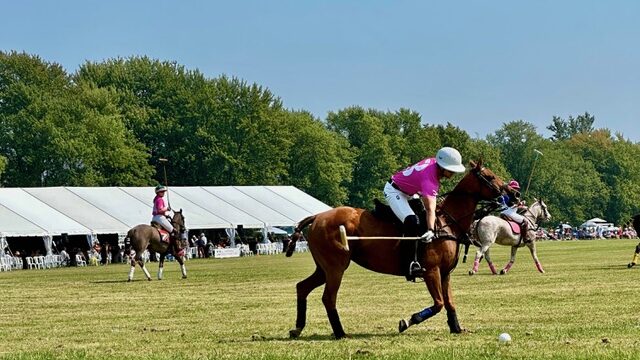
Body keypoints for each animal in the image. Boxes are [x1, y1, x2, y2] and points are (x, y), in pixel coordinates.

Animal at [284, 160, 516, 338]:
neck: (447, 223)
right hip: (336, 267)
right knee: (328, 298)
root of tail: (317, 216)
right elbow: (439, 303)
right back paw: (340, 333)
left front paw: (457, 328)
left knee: (302, 287)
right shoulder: (431, 271)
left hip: (323, 267)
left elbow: (450, 302)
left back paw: (297, 329)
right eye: (490, 176)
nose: (514, 194)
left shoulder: (445, 273)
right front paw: (409, 321)